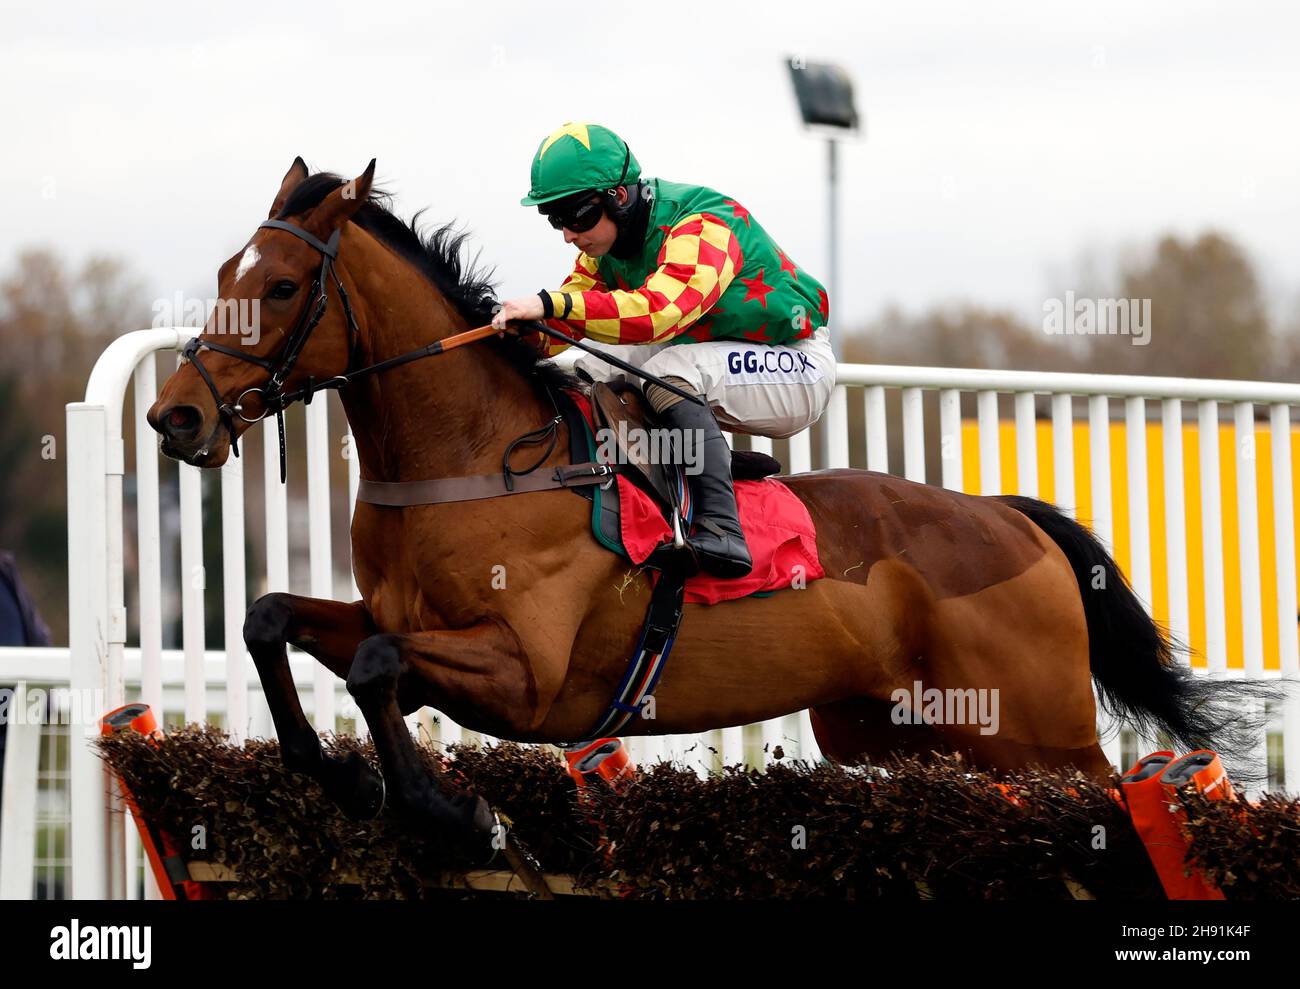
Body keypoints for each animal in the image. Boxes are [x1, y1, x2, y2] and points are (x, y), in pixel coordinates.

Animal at [144, 159, 1268, 842]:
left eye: (282, 286)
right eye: (225, 270)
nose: (174, 415)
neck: (475, 456)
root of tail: (1008, 514)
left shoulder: (525, 673)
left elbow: (377, 665)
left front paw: (463, 815)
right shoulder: (399, 621)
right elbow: (272, 619)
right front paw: (336, 773)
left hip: (1041, 733)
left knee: (1115, 782)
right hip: (897, 730)